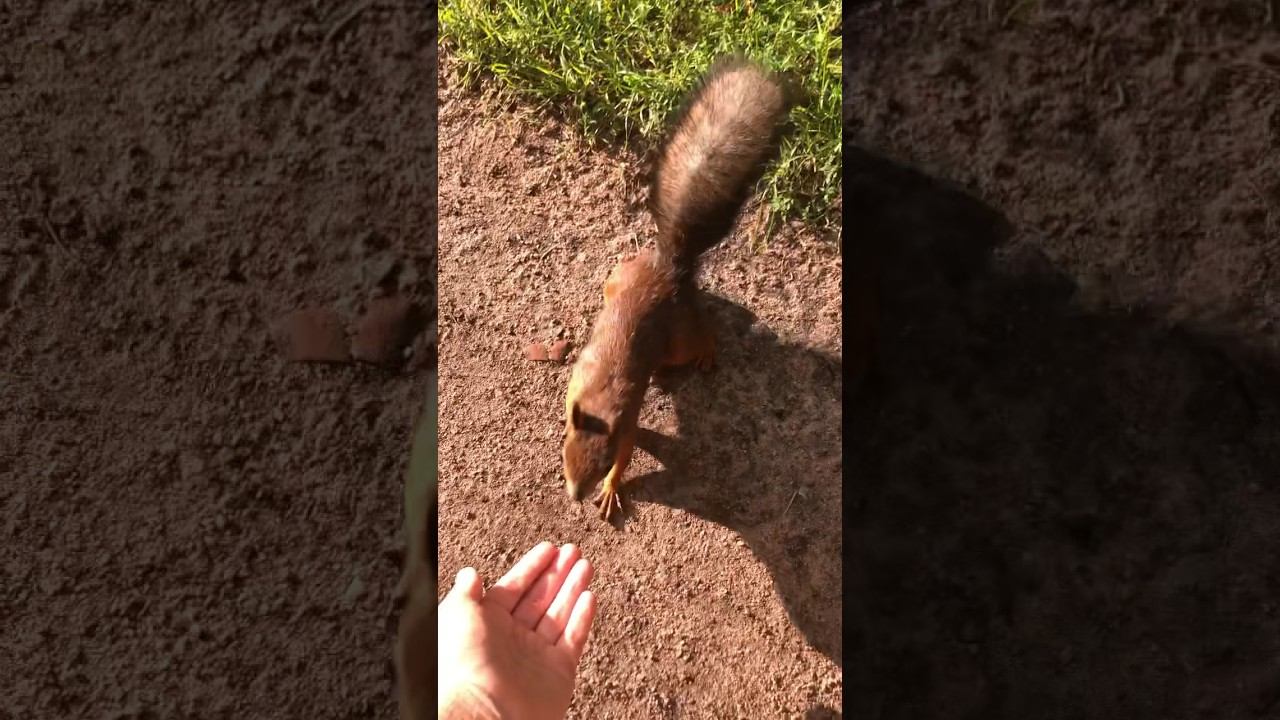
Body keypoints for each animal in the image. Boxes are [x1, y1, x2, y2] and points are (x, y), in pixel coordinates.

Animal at [562, 57, 793, 521]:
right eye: (565, 453)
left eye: (600, 462)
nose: (575, 495)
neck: (597, 398)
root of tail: (670, 266)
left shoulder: (627, 422)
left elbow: (629, 453)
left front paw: (612, 488)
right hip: (617, 279)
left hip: (679, 338)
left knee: (702, 336)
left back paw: (706, 354)